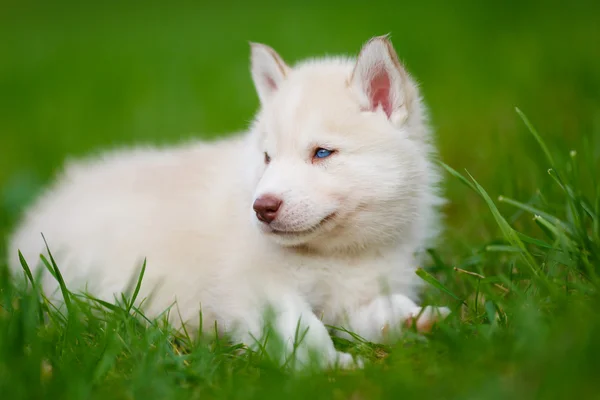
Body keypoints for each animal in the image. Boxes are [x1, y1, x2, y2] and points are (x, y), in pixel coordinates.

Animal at [8, 36, 450, 370]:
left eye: (322, 153)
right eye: (267, 157)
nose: (263, 207)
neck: (339, 255)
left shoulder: (356, 296)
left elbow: (384, 308)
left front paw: (420, 321)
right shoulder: (256, 292)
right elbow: (303, 330)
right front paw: (329, 365)